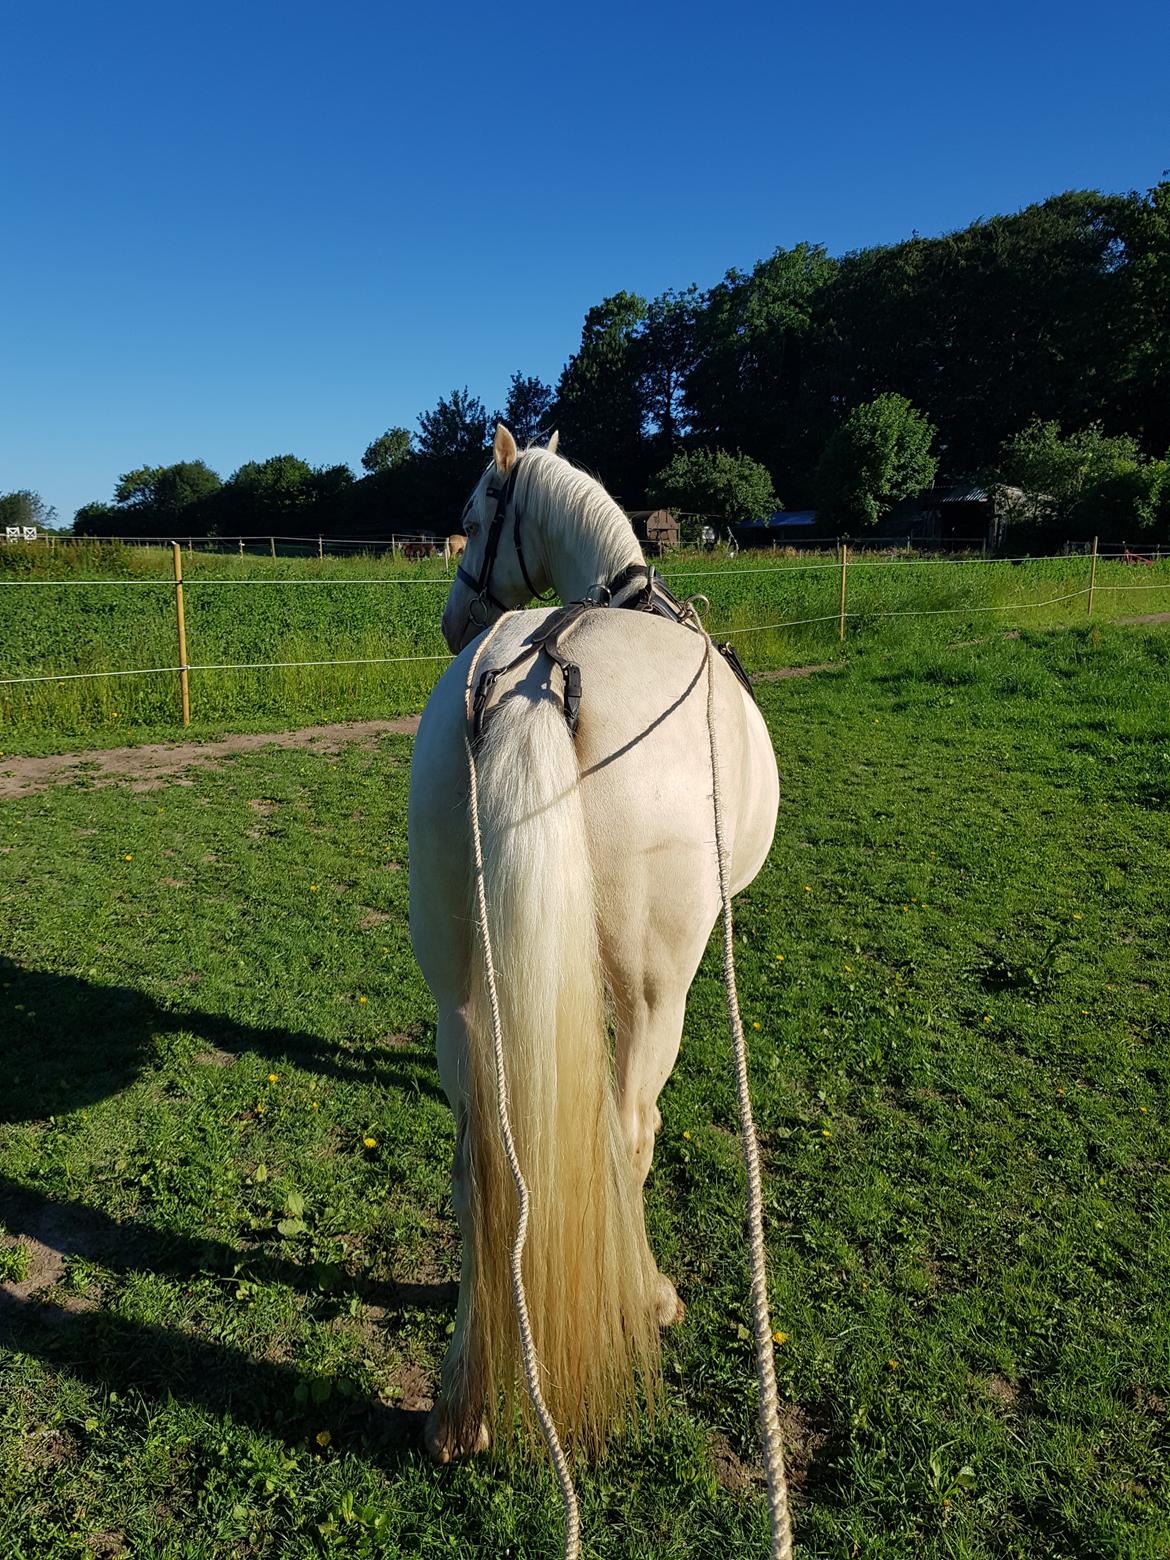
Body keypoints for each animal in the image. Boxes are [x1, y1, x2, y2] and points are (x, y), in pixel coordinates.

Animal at [408, 427, 783, 1460]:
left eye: (470, 517)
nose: (454, 617)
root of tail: (535, 677)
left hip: (461, 991)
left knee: (480, 1162)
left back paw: (462, 1399)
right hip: (659, 991)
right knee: (626, 1135)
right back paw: (645, 1296)